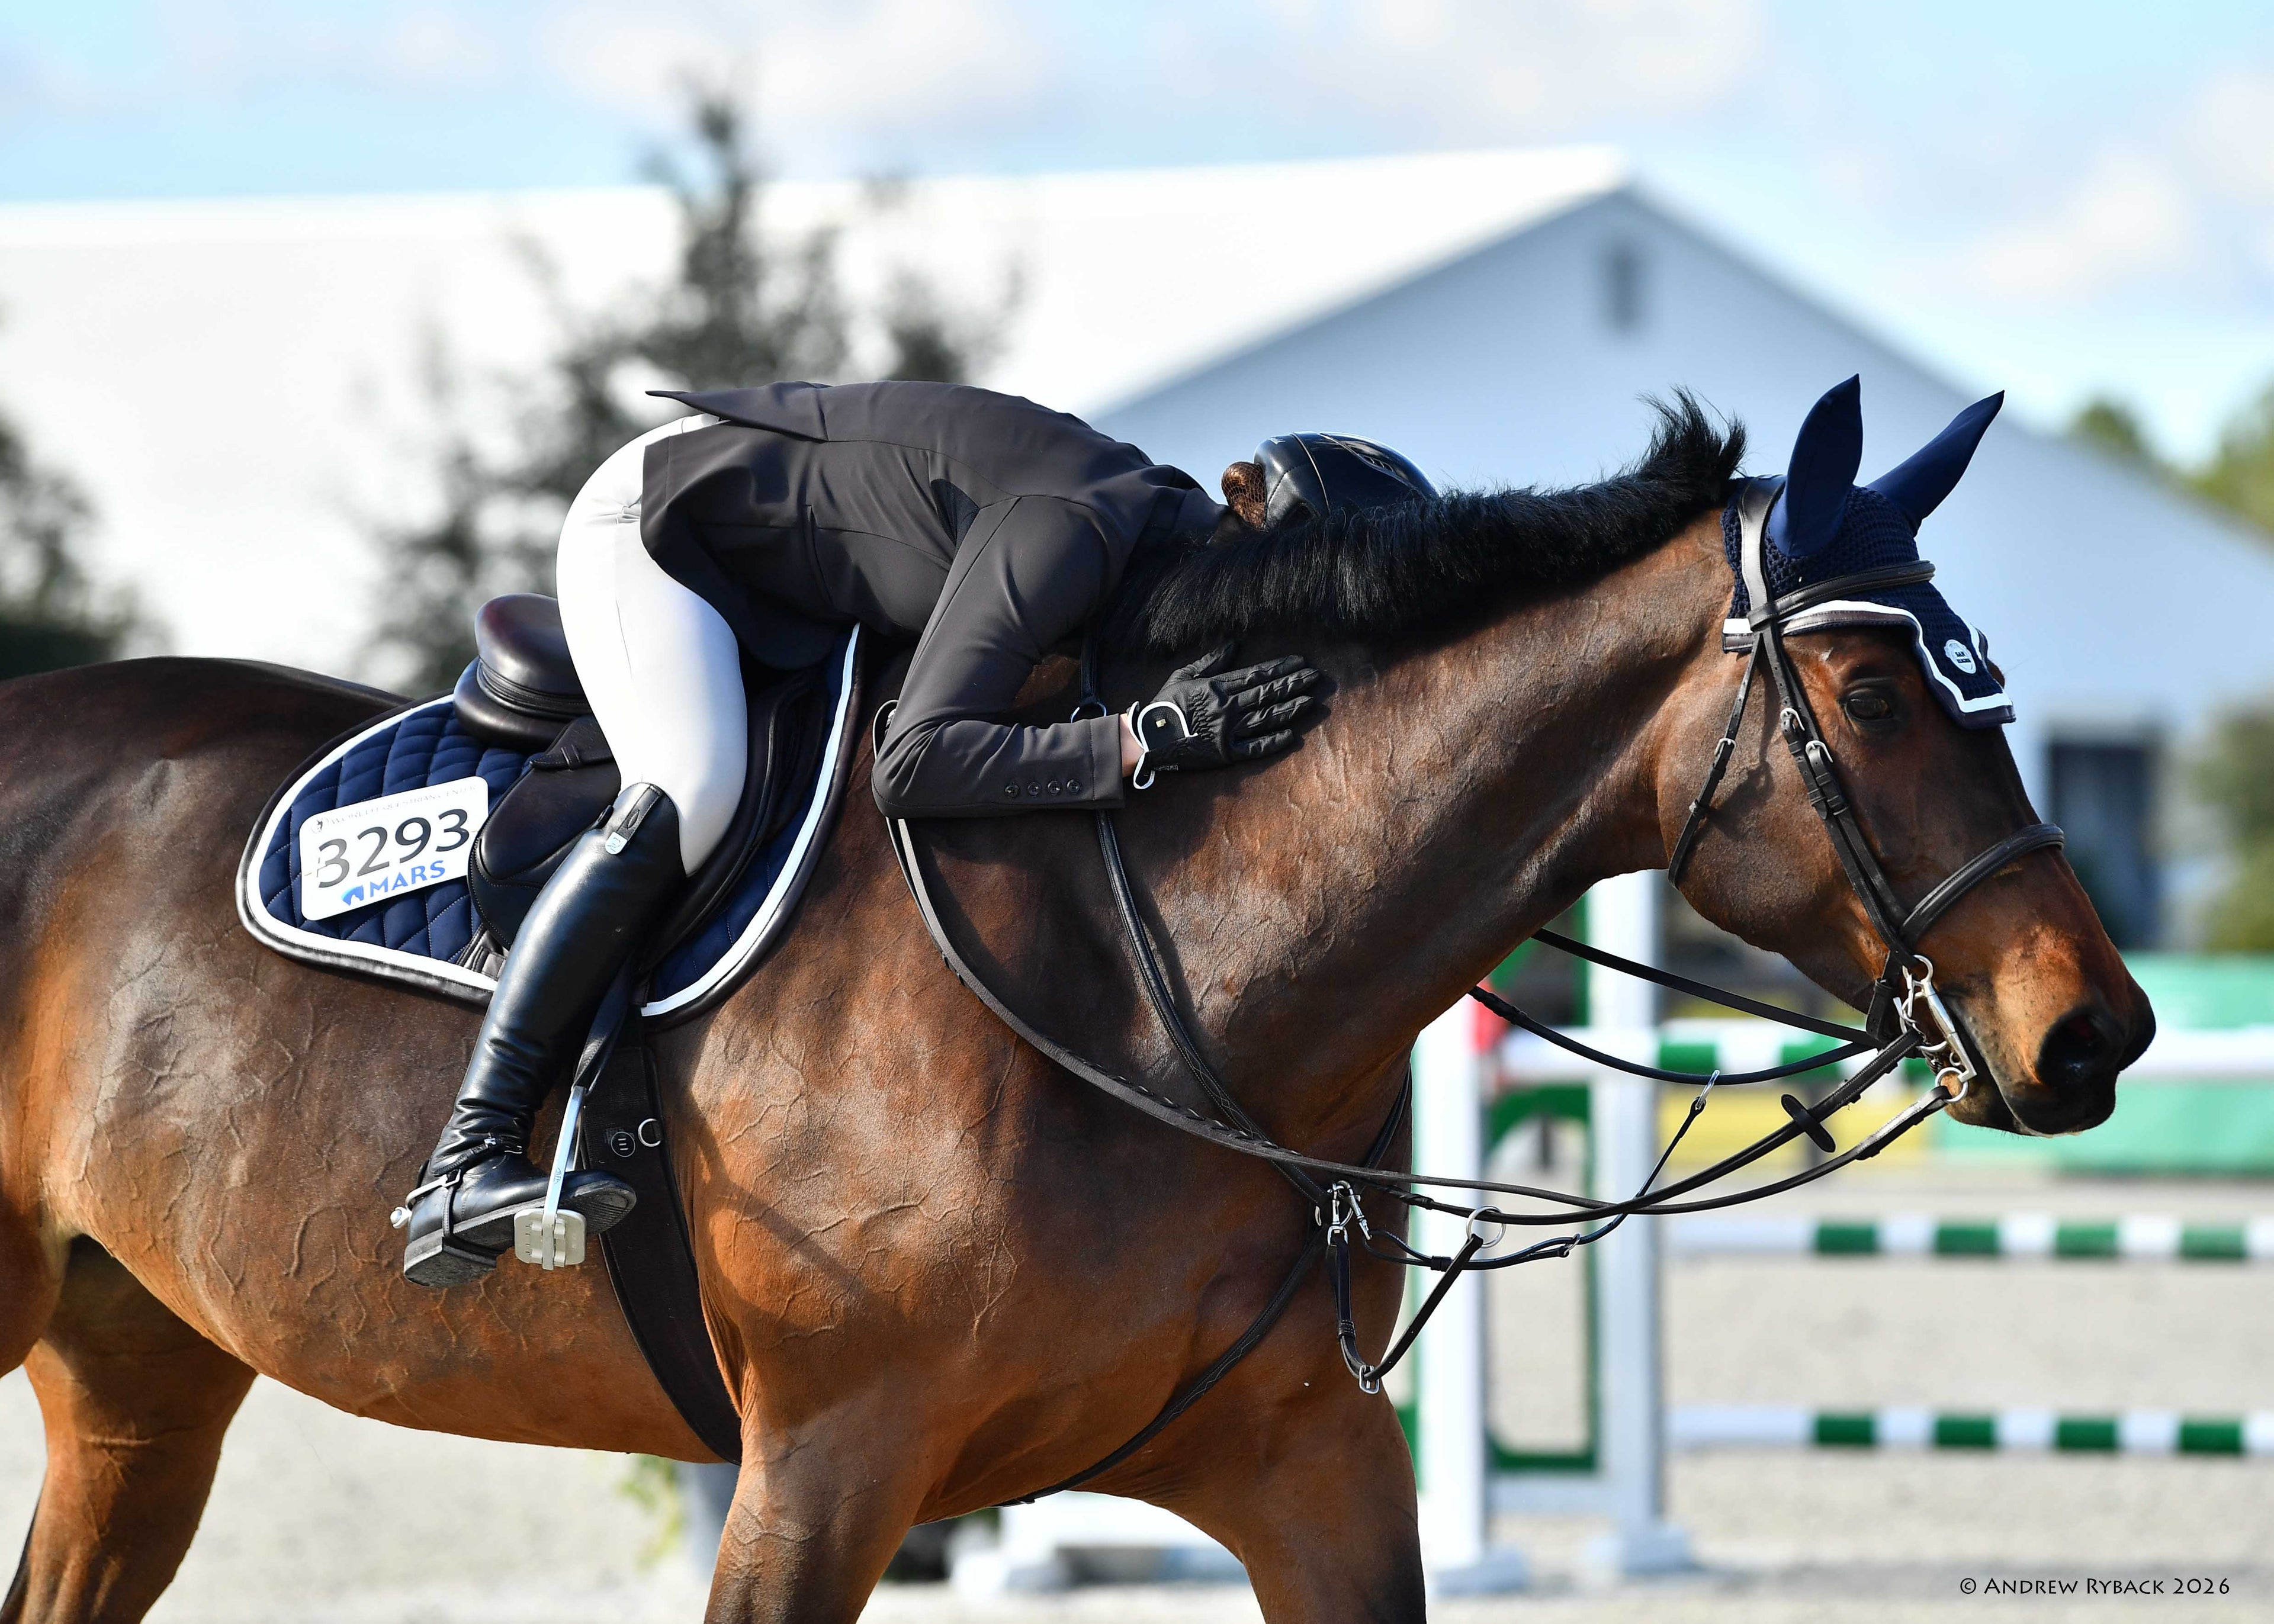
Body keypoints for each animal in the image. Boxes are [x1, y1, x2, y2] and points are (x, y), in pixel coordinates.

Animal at [0, 401, 2150, 1622]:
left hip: (141, 1371)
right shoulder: (823, 1467)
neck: (1168, 968)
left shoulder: (1309, 1466)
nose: (2095, 1032)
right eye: (1868, 695)